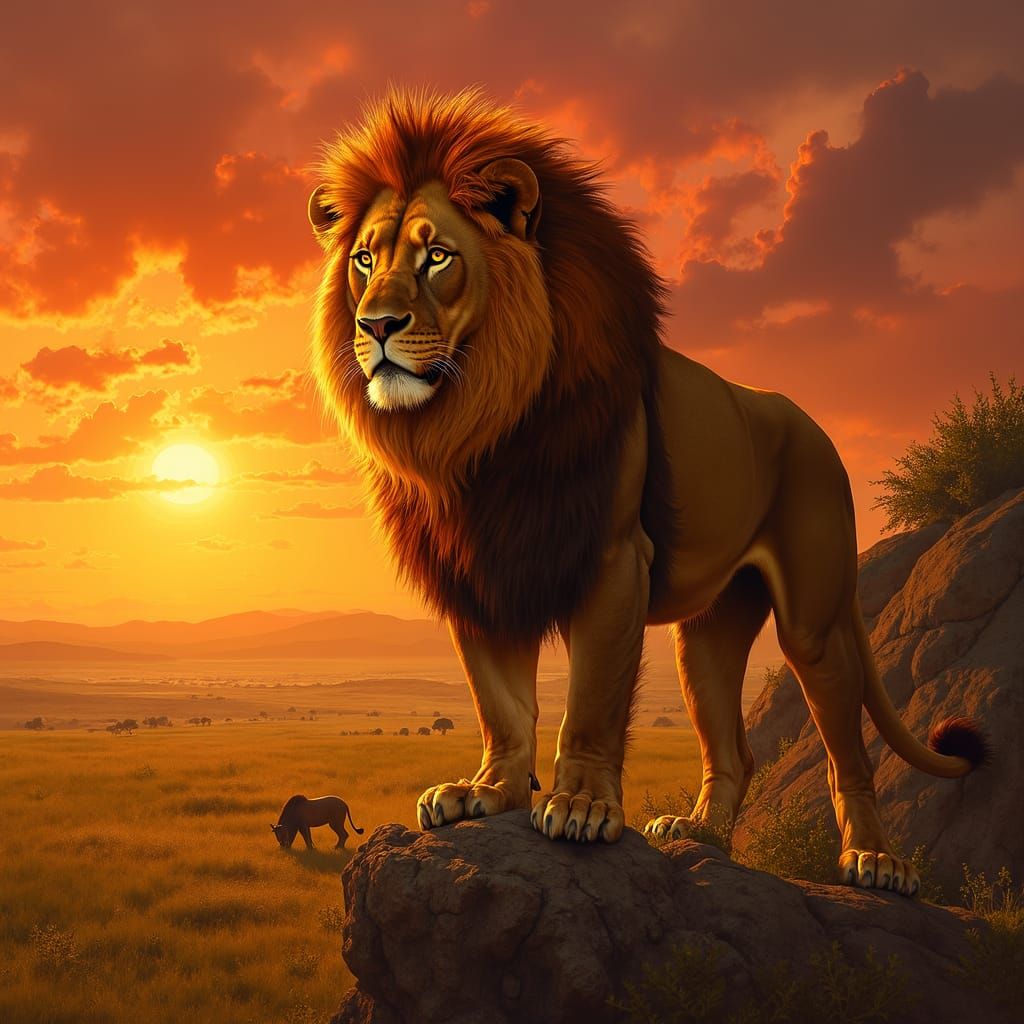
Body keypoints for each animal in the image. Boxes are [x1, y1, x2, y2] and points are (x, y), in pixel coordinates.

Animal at [308, 88, 986, 896]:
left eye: (436, 254)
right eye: (364, 259)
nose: (375, 324)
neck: (478, 424)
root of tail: (813, 426)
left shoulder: (610, 557)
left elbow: (591, 702)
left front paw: (580, 807)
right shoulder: (479, 564)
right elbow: (500, 703)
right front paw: (487, 792)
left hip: (815, 624)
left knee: (847, 754)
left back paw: (875, 862)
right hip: (708, 632)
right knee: (735, 749)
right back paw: (700, 834)